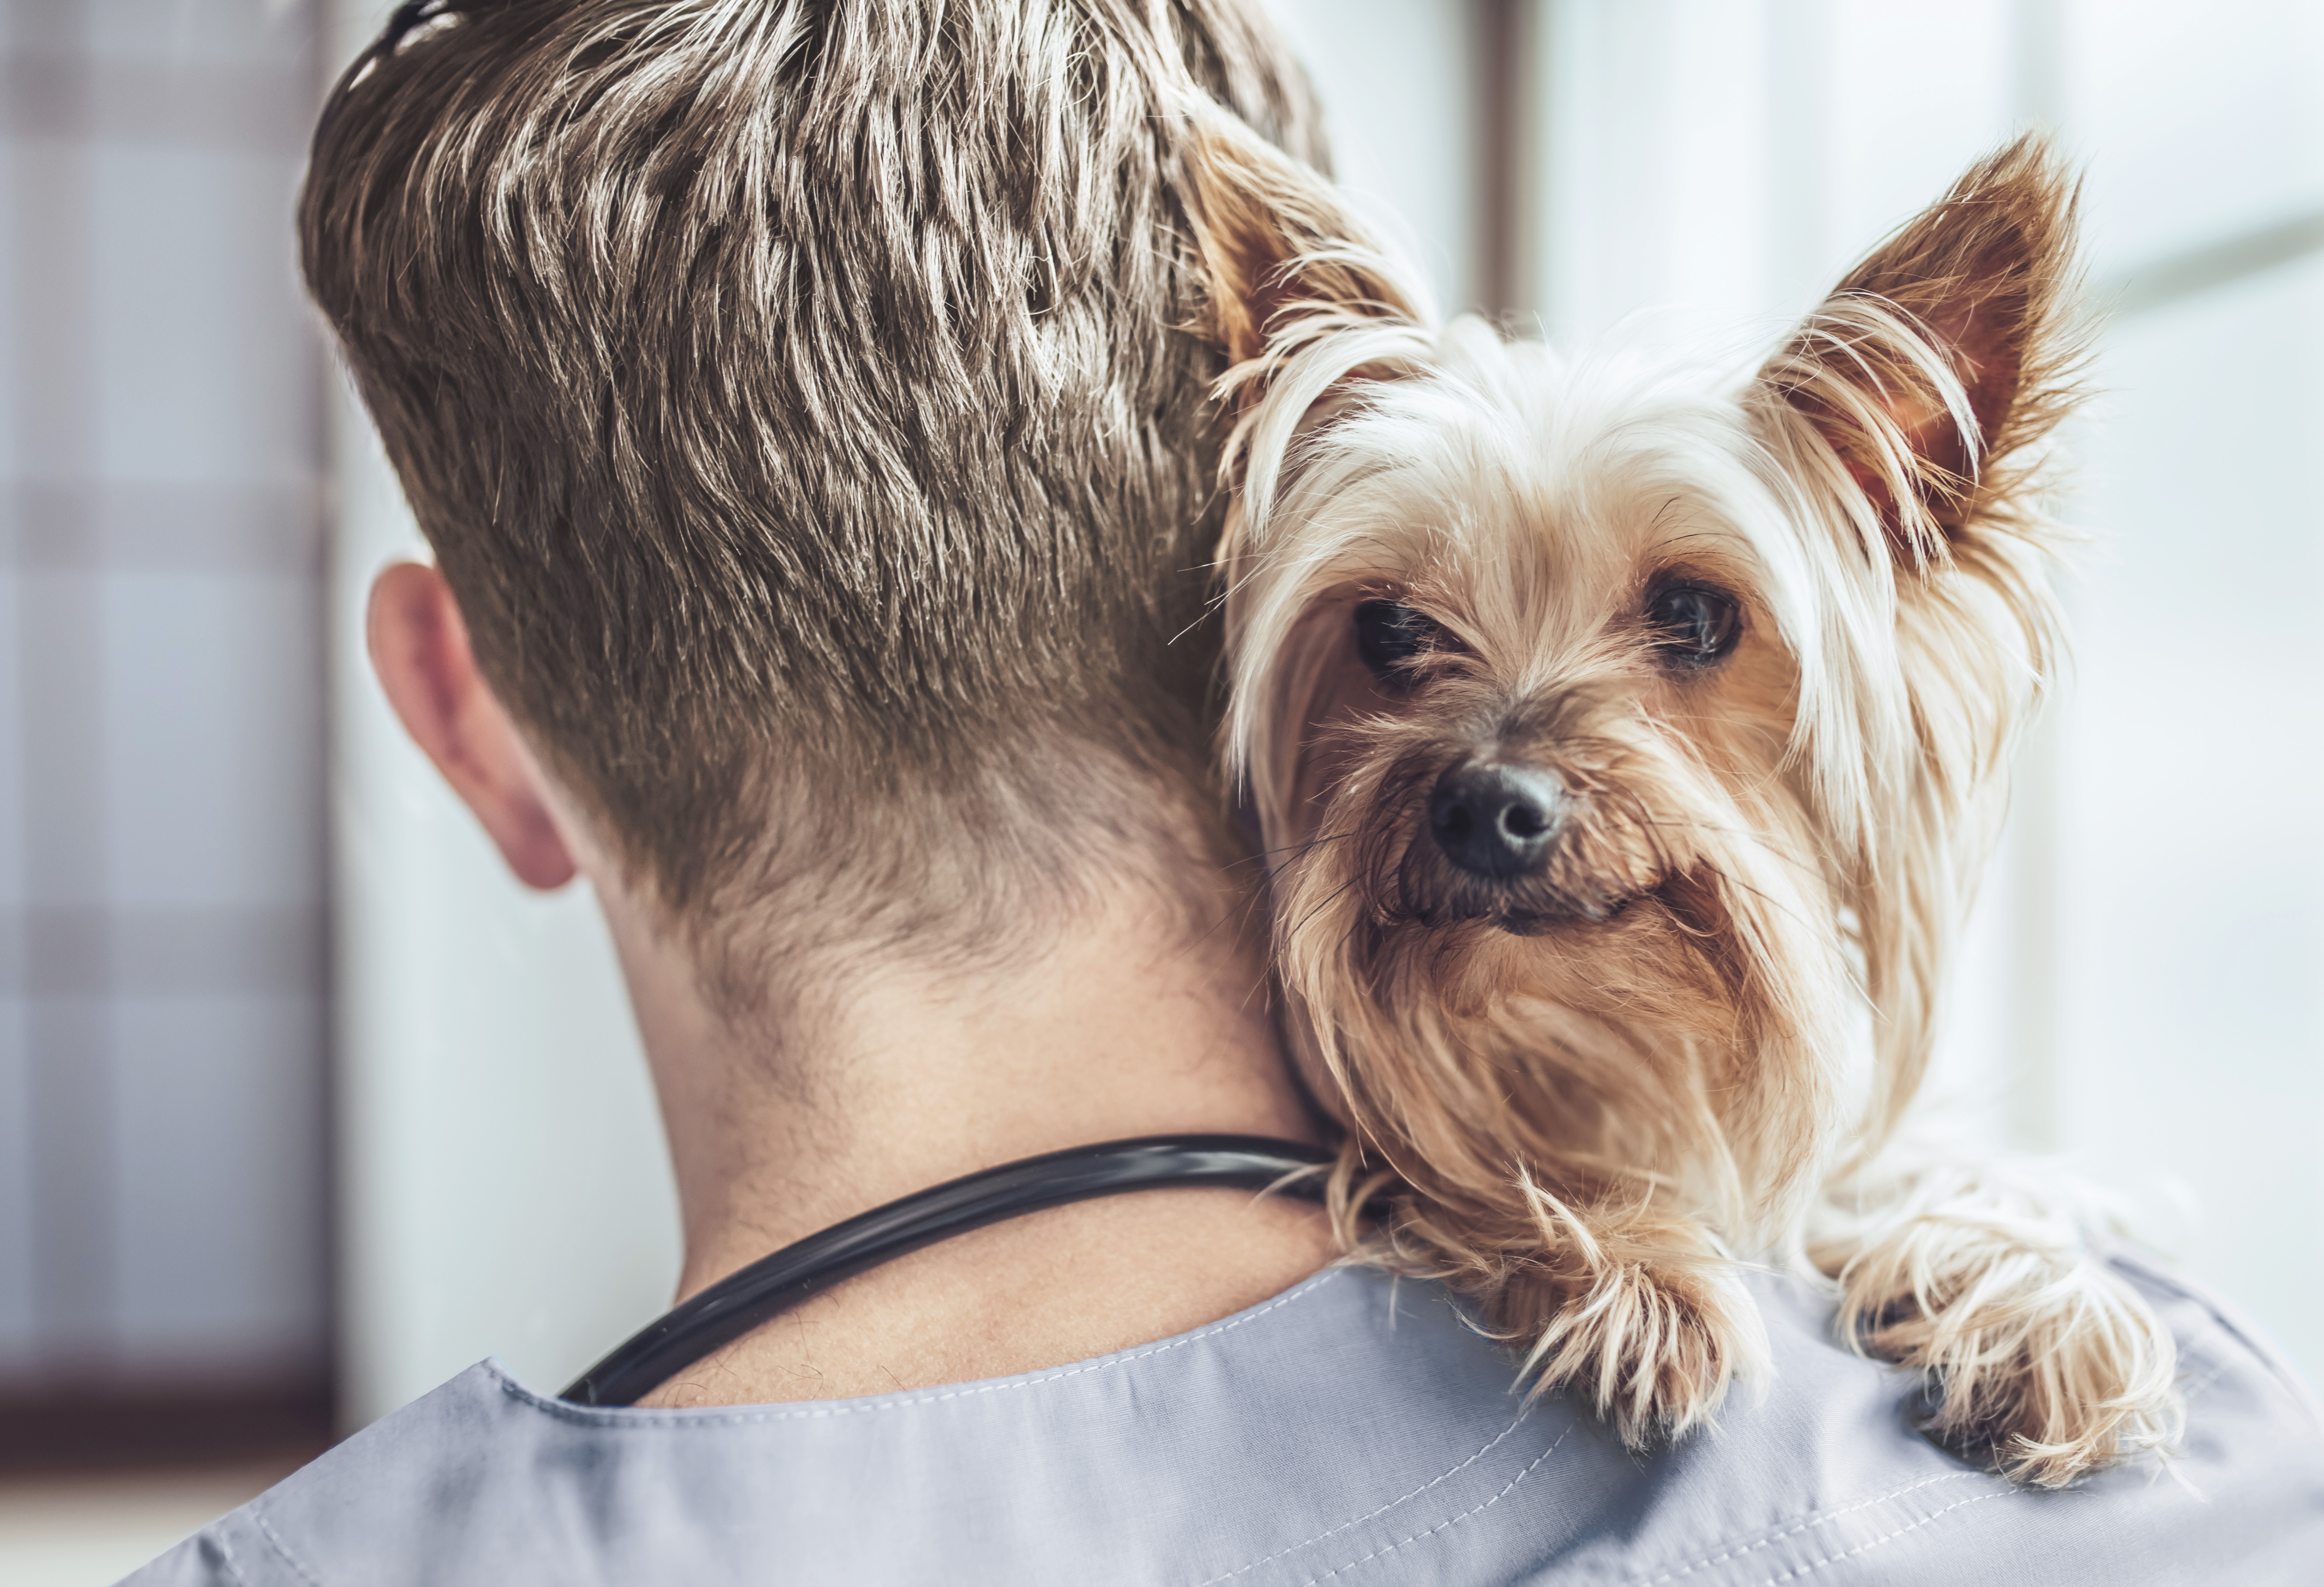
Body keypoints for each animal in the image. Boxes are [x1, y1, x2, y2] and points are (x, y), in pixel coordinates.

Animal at [1190, 115, 2184, 1487]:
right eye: (1390, 629)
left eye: (1695, 614)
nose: (1484, 804)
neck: (1601, 1029)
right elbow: (1465, 1168)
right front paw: (1638, 1267)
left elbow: (1915, 1173)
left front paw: (2036, 1299)